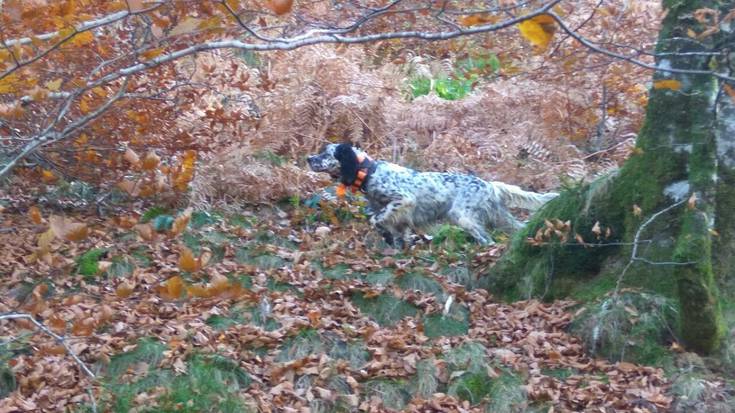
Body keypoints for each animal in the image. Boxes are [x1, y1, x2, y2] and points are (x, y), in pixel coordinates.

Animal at [306, 143, 556, 246]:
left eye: (326, 153)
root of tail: (488, 184)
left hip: (462, 216)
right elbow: (394, 231)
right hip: (499, 216)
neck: (369, 172)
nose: (308, 158)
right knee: (517, 228)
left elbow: (376, 219)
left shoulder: (404, 200)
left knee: (487, 238)